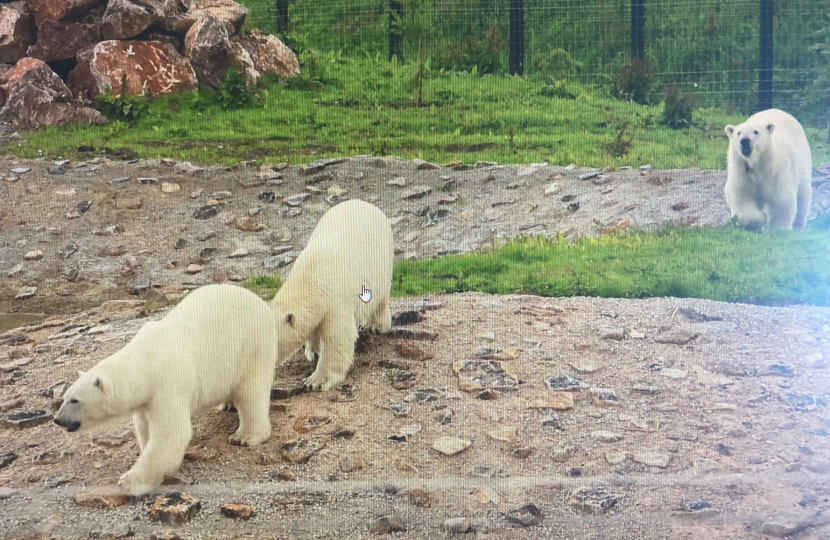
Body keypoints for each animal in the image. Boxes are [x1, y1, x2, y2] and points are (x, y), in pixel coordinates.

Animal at [54, 284, 280, 496]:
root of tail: (257, 299)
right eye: (64, 397)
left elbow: (171, 433)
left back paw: (245, 436)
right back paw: (227, 404)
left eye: (75, 400)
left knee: (251, 390)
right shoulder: (146, 399)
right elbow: (145, 426)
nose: (58, 419)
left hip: (252, 343)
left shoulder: (168, 383)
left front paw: (129, 482)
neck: (144, 361)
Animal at [270, 197, 394, 388]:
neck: (311, 278)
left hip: (383, 259)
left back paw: (376, 325)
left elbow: (338, 337)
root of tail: (362, 202)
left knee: (380, 298)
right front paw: (312, 351)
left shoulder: (335, 299)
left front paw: (315, 381)